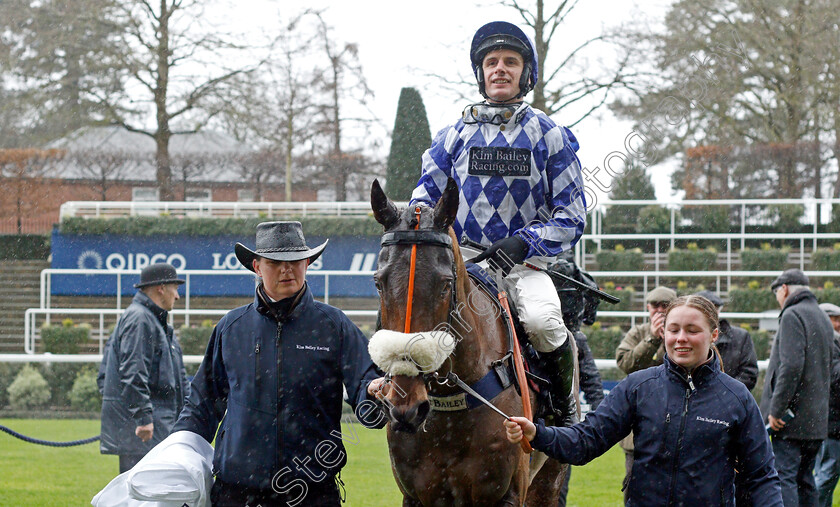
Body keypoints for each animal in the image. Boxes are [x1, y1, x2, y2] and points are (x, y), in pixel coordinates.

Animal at [368, 177, 572, 506]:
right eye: (378, 282)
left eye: (445, 284)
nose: (406, 407)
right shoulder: (415, 496)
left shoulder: (508, 492)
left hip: (549, 479)